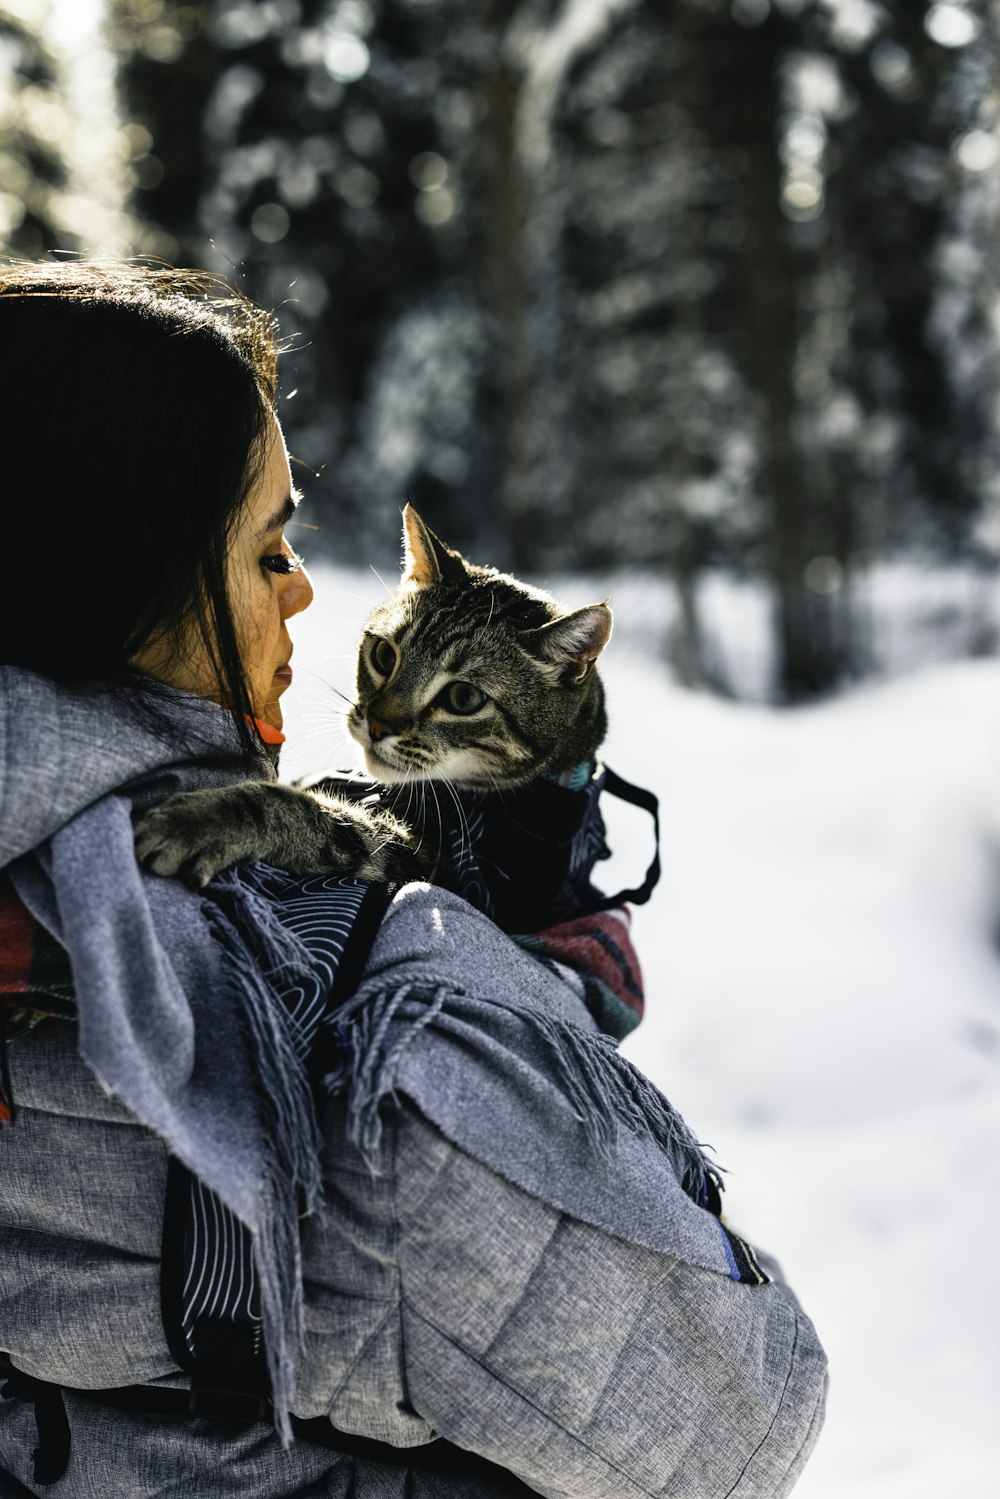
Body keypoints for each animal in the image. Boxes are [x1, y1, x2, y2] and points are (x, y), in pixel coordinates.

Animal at [134, 509, 611, 887]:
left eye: (464, 698)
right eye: (384, 654)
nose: (379, 724)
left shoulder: (444, 868)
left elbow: (310, 814)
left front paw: (202, 819)